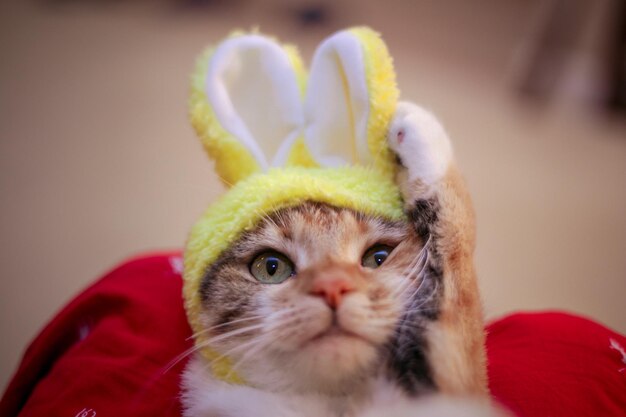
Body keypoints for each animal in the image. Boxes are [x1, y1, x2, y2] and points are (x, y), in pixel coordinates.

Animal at [180, 101, 498, 416]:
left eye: (378, 257)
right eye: (271, 267)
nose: (332, 286)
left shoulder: (450, 379)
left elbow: (457, 258)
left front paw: (418, 129)